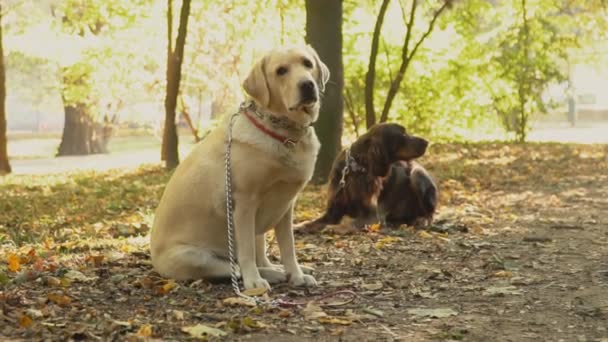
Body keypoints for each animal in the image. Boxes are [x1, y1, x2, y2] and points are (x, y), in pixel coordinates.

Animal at [151, 45, 330, 290]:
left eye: (307, 64)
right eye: (281, 71)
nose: (307, 85)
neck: (283, 131)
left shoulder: (285, 204)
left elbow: (288, 246)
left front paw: (297, 274)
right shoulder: (244, 203)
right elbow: (247, 251)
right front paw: (255, 281)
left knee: (259, 254)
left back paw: (278, 269)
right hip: (195, 257)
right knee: (233, 268)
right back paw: (269, 275)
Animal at [296, 124, 428, 234]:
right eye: (403, 134)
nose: (427, 142)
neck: (355, 168)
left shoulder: (372, 215)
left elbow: (352, 222)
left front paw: (336, 227)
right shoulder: (332, 211)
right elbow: (314, 221)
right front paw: (300, 225)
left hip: (417, 175)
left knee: (428, 213)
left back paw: (422, 220)